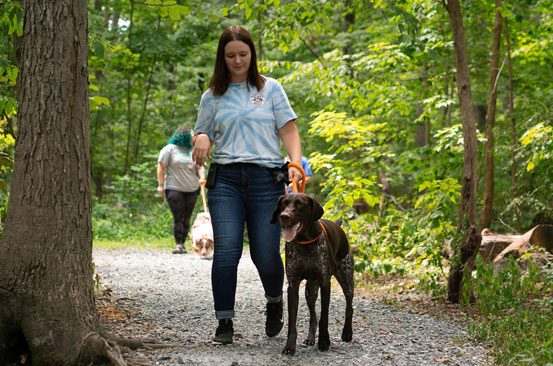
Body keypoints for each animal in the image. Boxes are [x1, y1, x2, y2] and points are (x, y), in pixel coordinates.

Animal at [270, 192, 354, 354]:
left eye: (299, 204)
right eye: (284, 204)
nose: (284, 216)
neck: (305, 242)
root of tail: (337, 225)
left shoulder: (325, 284)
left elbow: (324, 317)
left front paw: (324, 341)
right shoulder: (293, 285)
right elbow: (293, 321)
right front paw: (290, 346)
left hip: (346, 279)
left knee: (349, 306)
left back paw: (347, 333)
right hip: (310, 290)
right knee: (313, 315)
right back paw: (310, 338)